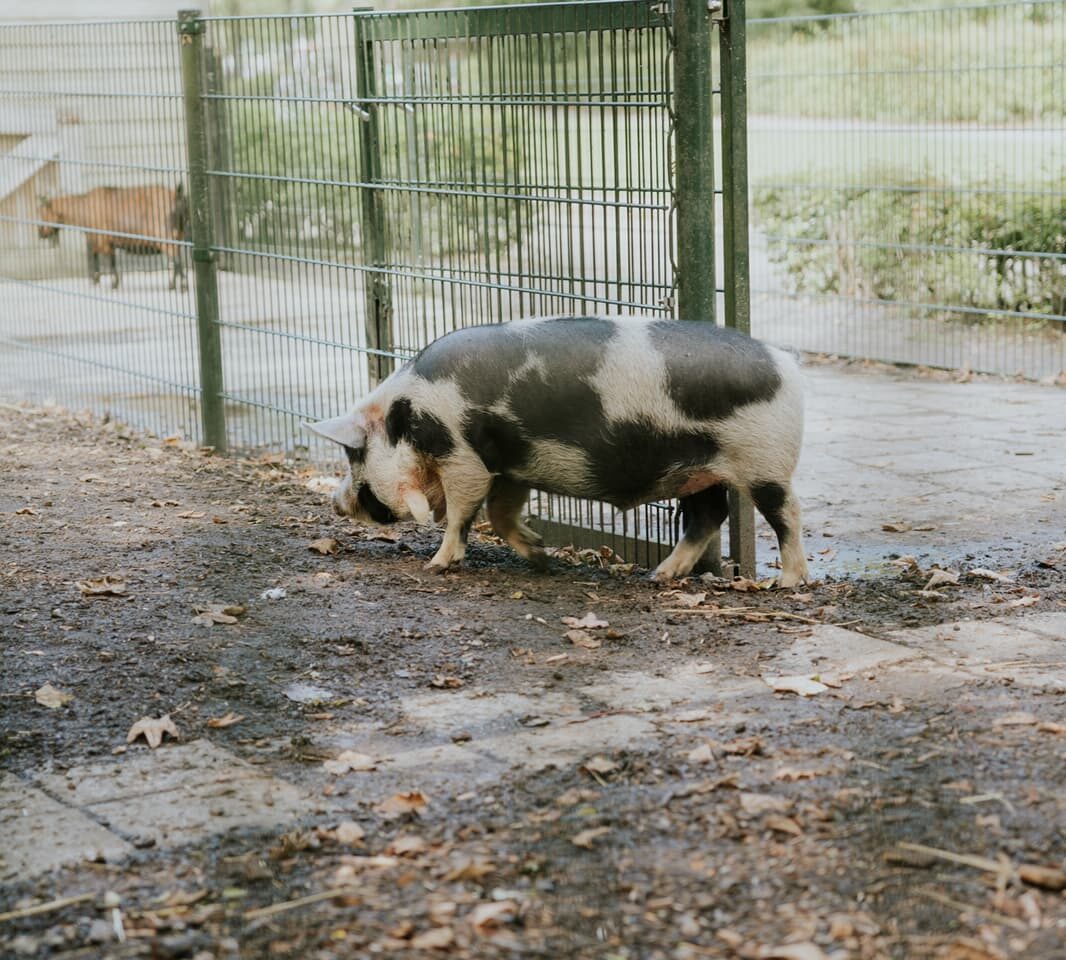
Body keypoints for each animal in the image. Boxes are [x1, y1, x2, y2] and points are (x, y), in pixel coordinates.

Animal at [36, 184, 187, 291]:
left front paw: (109, 283)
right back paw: (174, 285)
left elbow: (104, 262)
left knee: (177, 261)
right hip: (178, 236)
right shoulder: (103, 241)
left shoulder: (101, 241)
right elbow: (103, 259)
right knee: (177, 261)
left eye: (43, 213)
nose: (40, 233)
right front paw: (100, 280)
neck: (84, 208)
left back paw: (179, 286)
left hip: (166, 238)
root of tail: (177, 197)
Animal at [307, 317, 805, 583]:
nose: (334, 502)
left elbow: (462, 512)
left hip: (764, 461)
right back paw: (660, 575)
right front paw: (541, 557)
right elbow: (501, 514)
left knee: (787, 514)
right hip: (698, 469)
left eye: (355, 455)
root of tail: (787, 363)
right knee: (709, 515)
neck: (410, 415)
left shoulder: (463, 456)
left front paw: (436, 564)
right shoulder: (511, 465)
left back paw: (787, 582)